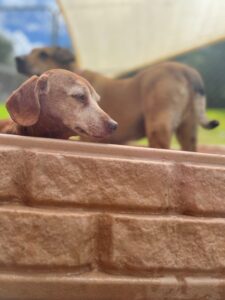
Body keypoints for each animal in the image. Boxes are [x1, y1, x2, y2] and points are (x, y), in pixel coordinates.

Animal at [14, 46, 219, 150]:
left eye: (43, 54)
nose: (17, 59)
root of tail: (188, 71)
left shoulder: (88, 137)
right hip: (188, 132)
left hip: (158, 128)